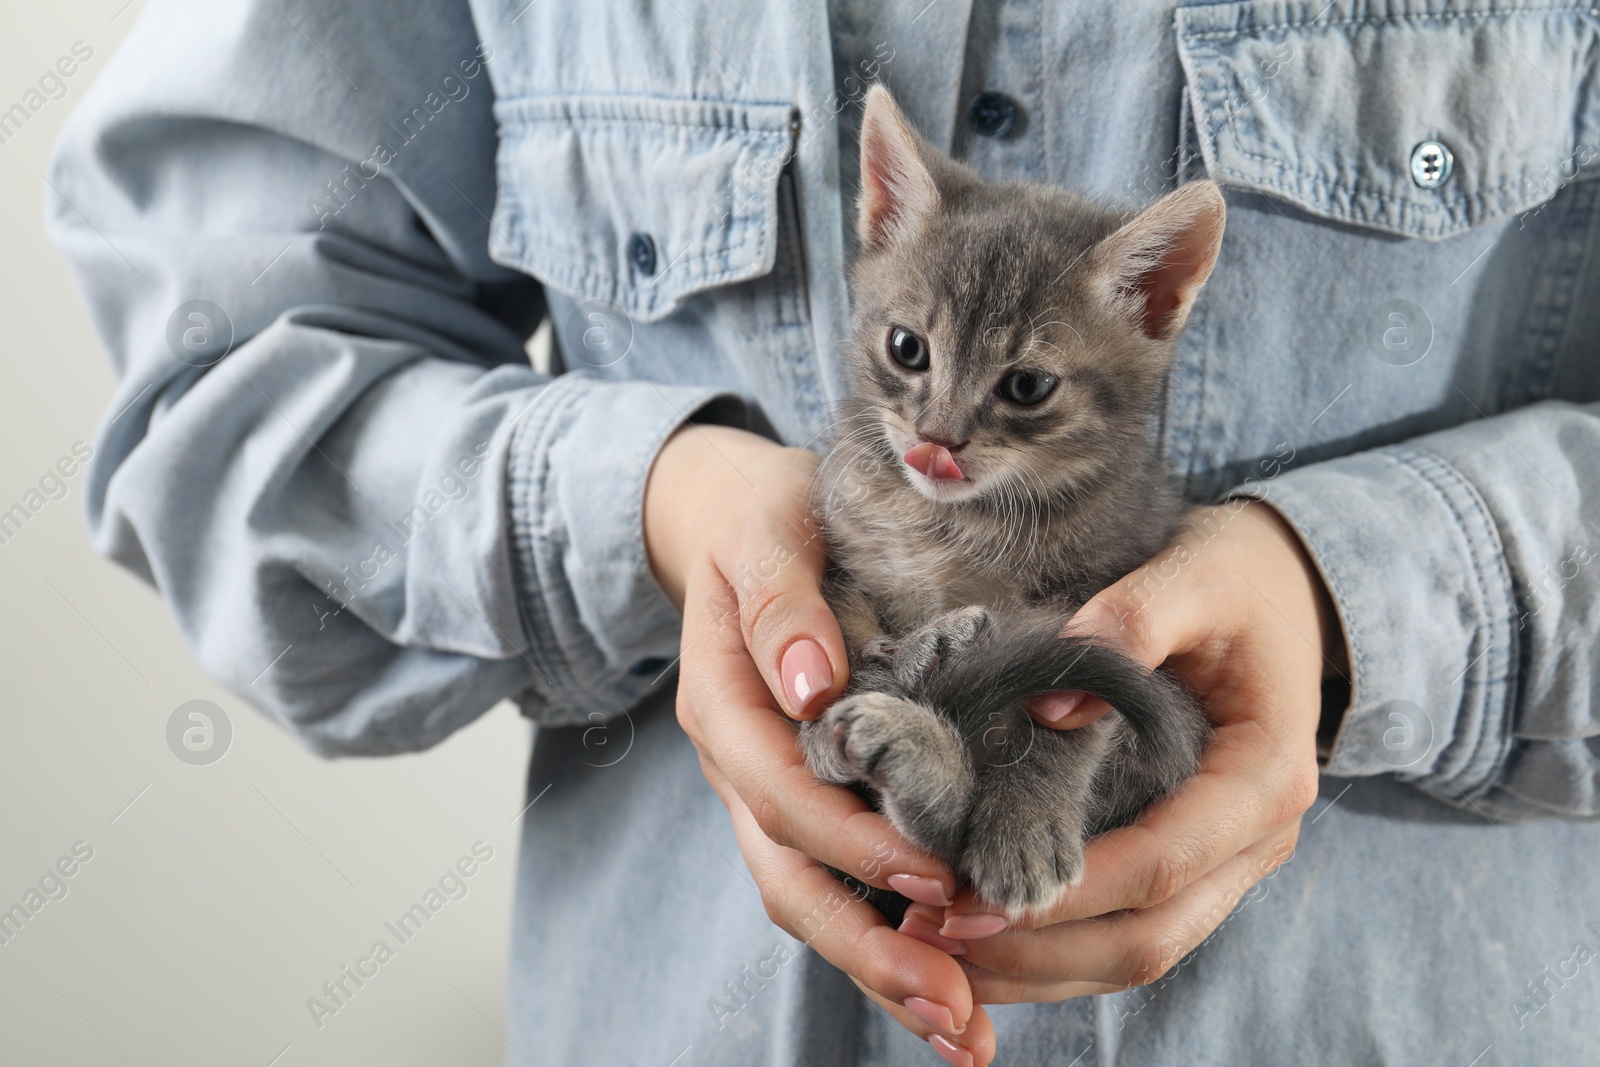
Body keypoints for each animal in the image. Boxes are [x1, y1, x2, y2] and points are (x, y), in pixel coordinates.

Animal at [800, 85, 1222, 921]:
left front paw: (1024, 825)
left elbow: (1062, 723)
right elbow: (849, 633)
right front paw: (905, 647)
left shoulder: (1104, 594)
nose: (936, 440)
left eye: (1027, 386)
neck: (953, 522)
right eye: (907, 348)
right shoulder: (846, 557)